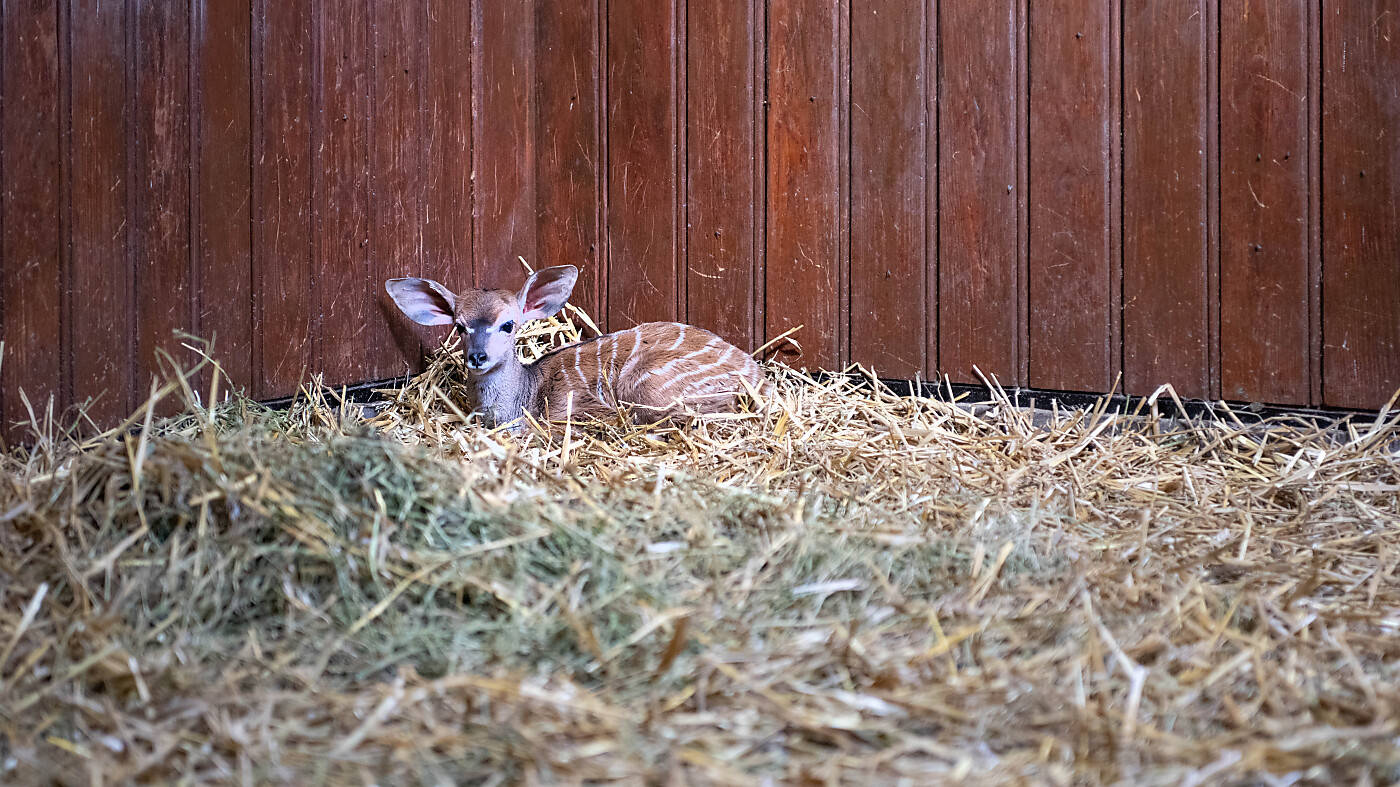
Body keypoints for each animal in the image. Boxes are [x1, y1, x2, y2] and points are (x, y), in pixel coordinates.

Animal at [389, 263, 772, 425]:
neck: (525, 396)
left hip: (647, 386)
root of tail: (760, 381)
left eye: (508, 325)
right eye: (459, 326)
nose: (477, 357)